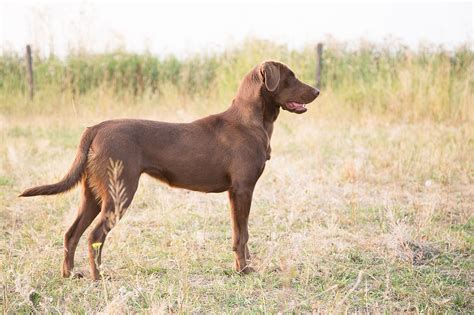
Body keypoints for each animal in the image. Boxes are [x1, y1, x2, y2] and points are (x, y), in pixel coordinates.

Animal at [21, 60, 318, 280]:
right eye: (290, 77)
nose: (317, 91)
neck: (251, 121)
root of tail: (96, 128)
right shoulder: (242, 189)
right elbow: (242, 235)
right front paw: (244, 270)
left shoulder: (236, 192)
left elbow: (240, 235)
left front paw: (242, 268)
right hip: (119, 193)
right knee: (95, 235)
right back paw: (99, 277)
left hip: (93, 194)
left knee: (72, 234)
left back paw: (70, 274)